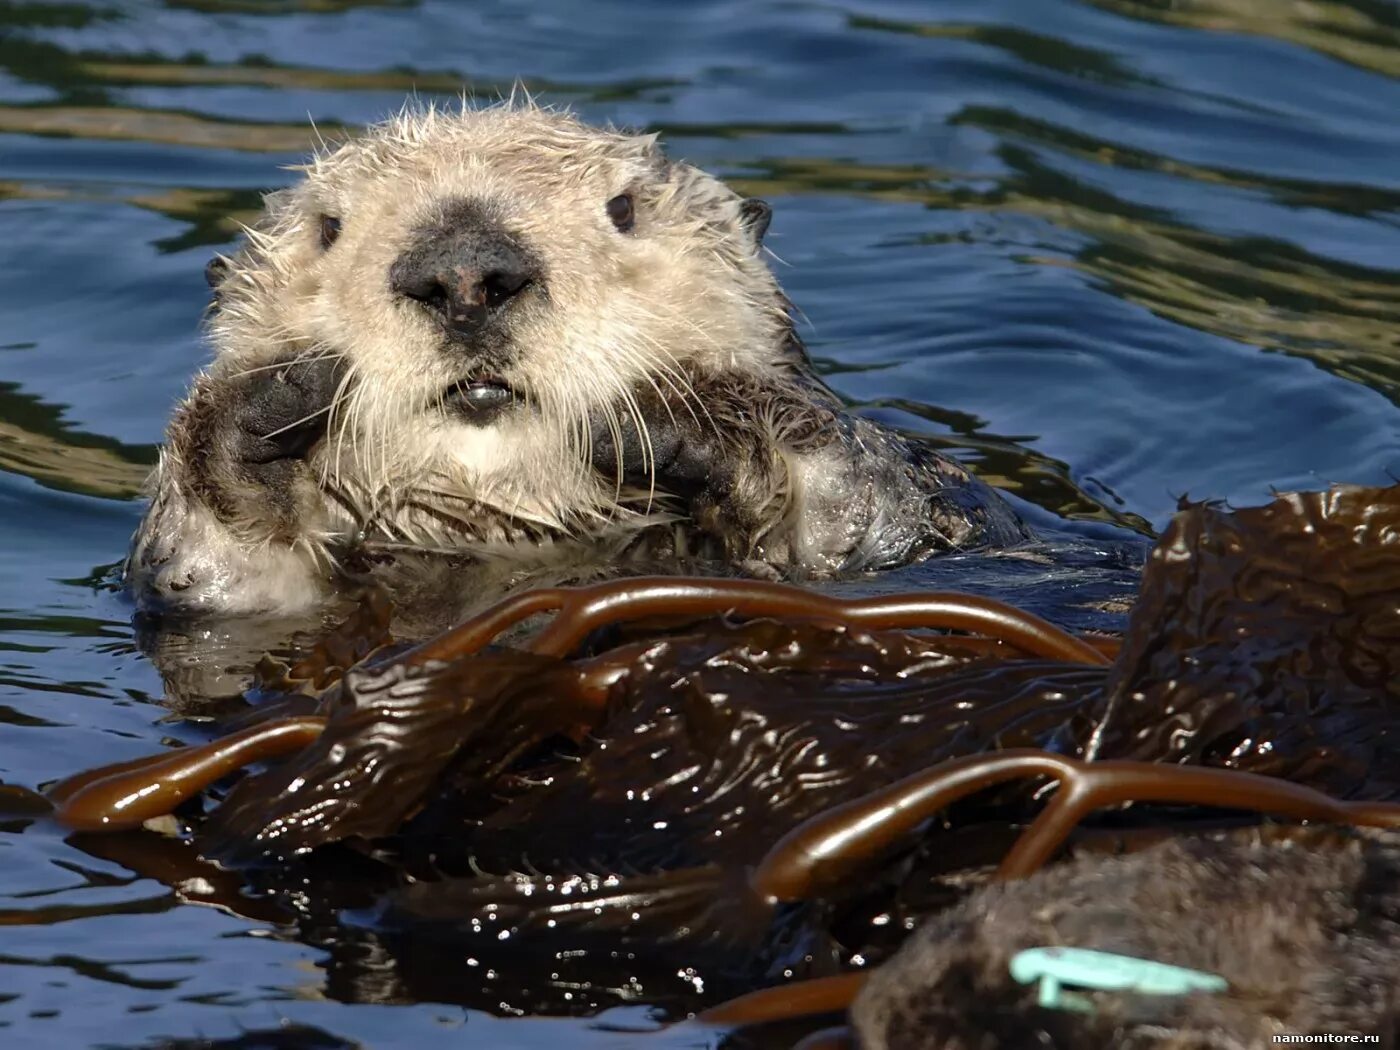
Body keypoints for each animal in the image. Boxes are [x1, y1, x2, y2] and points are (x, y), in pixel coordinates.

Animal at [126, 101, 1030, 613]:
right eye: (328, 227)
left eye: (624, 209)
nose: (465, 273)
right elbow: (205, 576)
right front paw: (257, 410)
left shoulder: (927, 518)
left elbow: (860, 507)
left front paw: (685, 419)